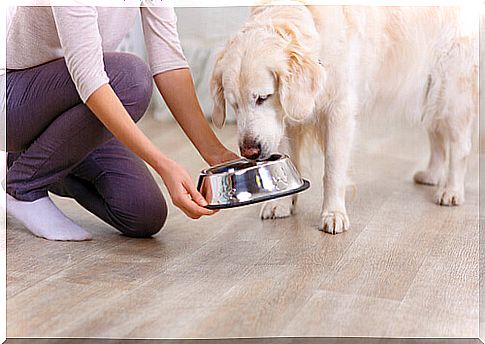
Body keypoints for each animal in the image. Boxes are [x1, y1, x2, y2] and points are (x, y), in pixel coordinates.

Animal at [209, 2, 476, 234]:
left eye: (263, 98)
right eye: (234, 105)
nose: (250, 152)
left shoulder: (339, 112)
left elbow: (333, 171)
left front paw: (333, 214)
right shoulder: (283, 119)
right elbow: (285, 156)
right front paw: (281, 203)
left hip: (450, 92)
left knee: (460, 146)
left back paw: (451, 191)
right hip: (428, 94)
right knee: (437, 137)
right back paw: (431, 175)